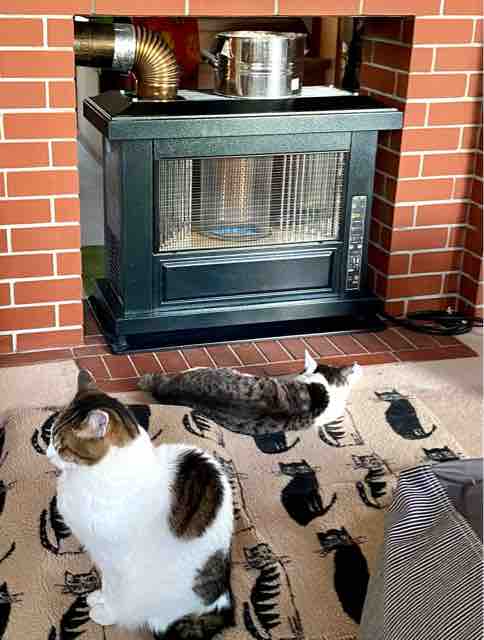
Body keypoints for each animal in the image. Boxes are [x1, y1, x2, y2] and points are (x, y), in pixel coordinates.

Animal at [46, 370, 234, 639]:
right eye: (50, 436)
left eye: (61, 446)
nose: (48, 453)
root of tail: (220, 599)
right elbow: (106, 584)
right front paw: (99, 597)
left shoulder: (114, 559)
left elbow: (114, 589)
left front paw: (106, 611)